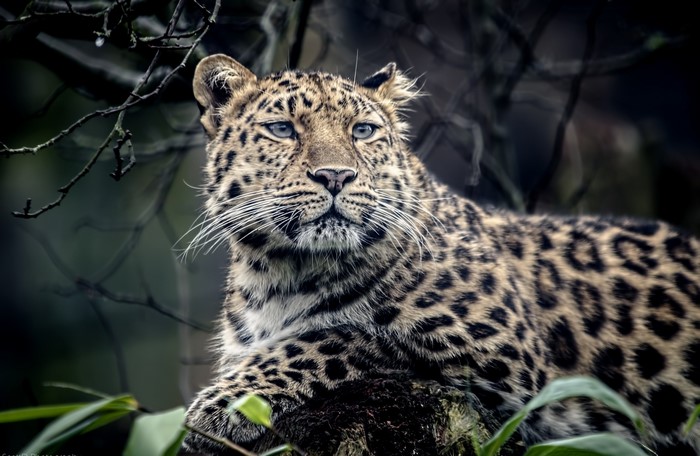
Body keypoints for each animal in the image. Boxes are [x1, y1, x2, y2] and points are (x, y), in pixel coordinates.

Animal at [182, 53, 700, 455]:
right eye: (282, 129)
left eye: (363, 130)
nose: (335, 176)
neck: (282, 272)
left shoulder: (504, 356)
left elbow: (335, 335)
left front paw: (218, 406)